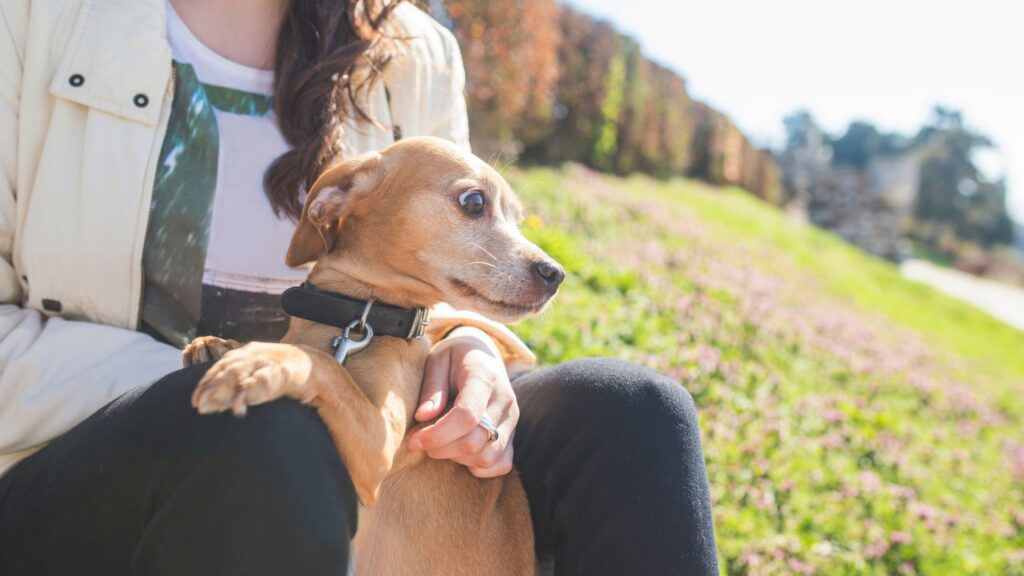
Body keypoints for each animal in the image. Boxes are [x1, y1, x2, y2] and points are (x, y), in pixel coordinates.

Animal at [186, 138, 569, 573]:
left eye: (518, 219)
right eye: (474, 201)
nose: (555, 273)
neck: (356, 318)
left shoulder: (378, 451)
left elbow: (321, 364)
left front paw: (261, 361)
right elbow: (321, 361)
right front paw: (218, 344)